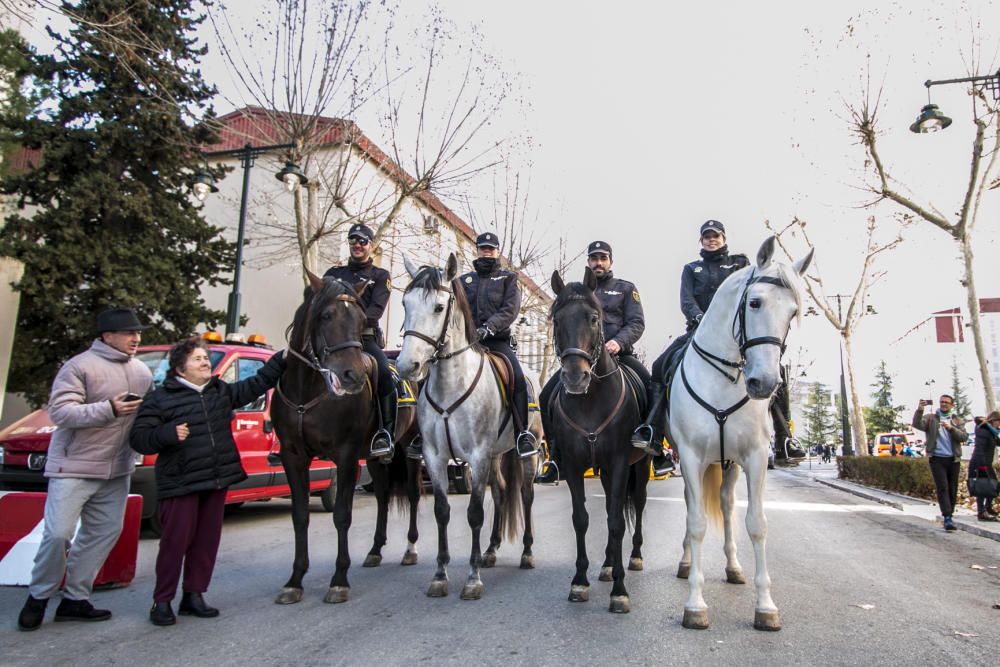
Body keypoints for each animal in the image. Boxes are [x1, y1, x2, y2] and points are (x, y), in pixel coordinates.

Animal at [272, 272, 420, 604]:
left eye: (362, 320)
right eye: (326, 315)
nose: (352, 375)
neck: (308, 391)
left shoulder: (346, 455)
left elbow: (342, 515)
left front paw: (339, 580)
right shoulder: (293, 456)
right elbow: (299, 515)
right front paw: (294, 580)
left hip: (411, 447)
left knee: (414, 494)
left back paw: (410, 548)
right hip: (376, 457)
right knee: (382, 496)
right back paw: (376, 549)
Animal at [396, 254, 532, 600]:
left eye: (438, 307)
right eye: (404, 303)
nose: (406, 366)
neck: (450, 383)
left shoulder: (477, 455)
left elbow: (474, 513)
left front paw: (472, 579)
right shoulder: (435, 457)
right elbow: (442, 510)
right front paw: (440, 575)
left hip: (526, 453)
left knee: (525, 494)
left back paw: (526, 553)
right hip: (497, 455)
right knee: (501, 491)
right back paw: (491, 550)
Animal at [544, 268, 652, 612]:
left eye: (594, 319)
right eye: (556, 319)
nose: (575, 377)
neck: (590, 401)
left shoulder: (618, 463)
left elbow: (617, 521)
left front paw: (620, 590)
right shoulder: (575, 466)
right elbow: (582, 518)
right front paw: (580, 581)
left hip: (640, 466)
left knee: (637, 504)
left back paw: (633, 557)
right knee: (607, 509)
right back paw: (605, 564)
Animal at [664, 237, 812, 636]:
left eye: (793, 312)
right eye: (754, 302)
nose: (764, 383)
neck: (725, 377)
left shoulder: (756, 457)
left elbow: (756, 525)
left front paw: (766, 607)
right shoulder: (691, 457)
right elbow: (697, 523)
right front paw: (695, 605)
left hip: (729, 464)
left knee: (729, 506)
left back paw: (733, 567)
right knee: (692, 508)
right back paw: (686, 563)